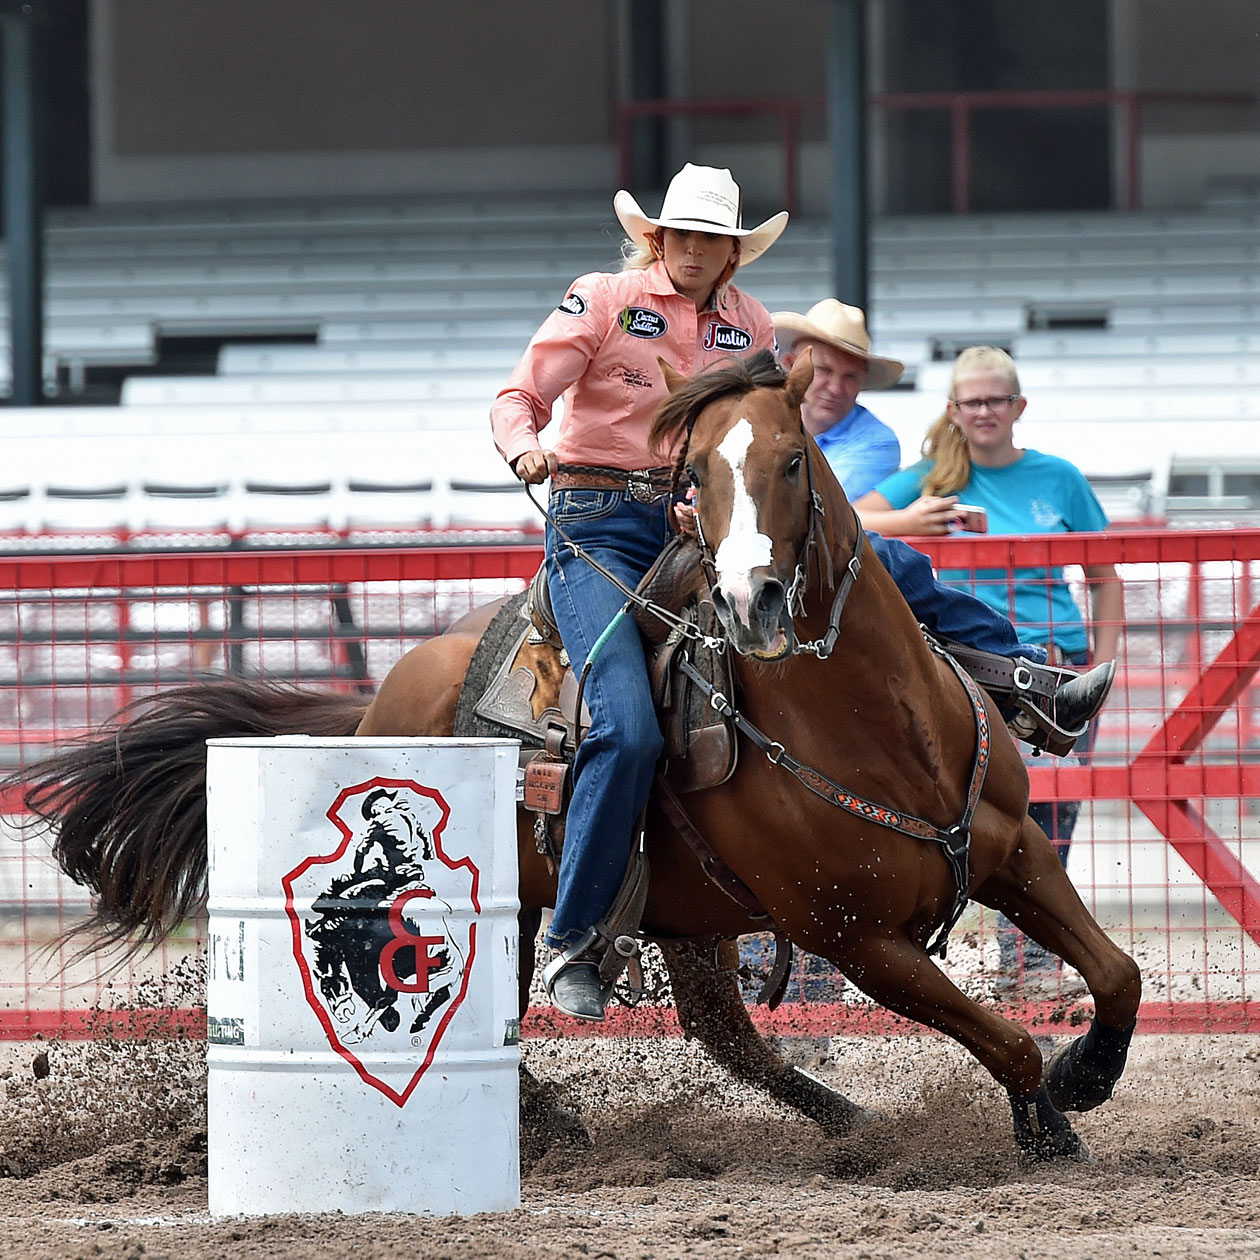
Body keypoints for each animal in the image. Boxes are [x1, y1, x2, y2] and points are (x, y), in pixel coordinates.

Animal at [14, 347, 1144, 1159]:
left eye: (790, 461)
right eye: (695, 476)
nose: (752, 603)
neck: (882, 730)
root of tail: (384, 700)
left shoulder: (1015, 852)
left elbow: (1119, 973)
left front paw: (1085, 1075)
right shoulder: (856, 939)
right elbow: (1004, 1034)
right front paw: (1049, 1118)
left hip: (694, 915)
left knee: (728, 1037)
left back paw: (854, 1126)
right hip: (502, 916)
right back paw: (555, 1122)